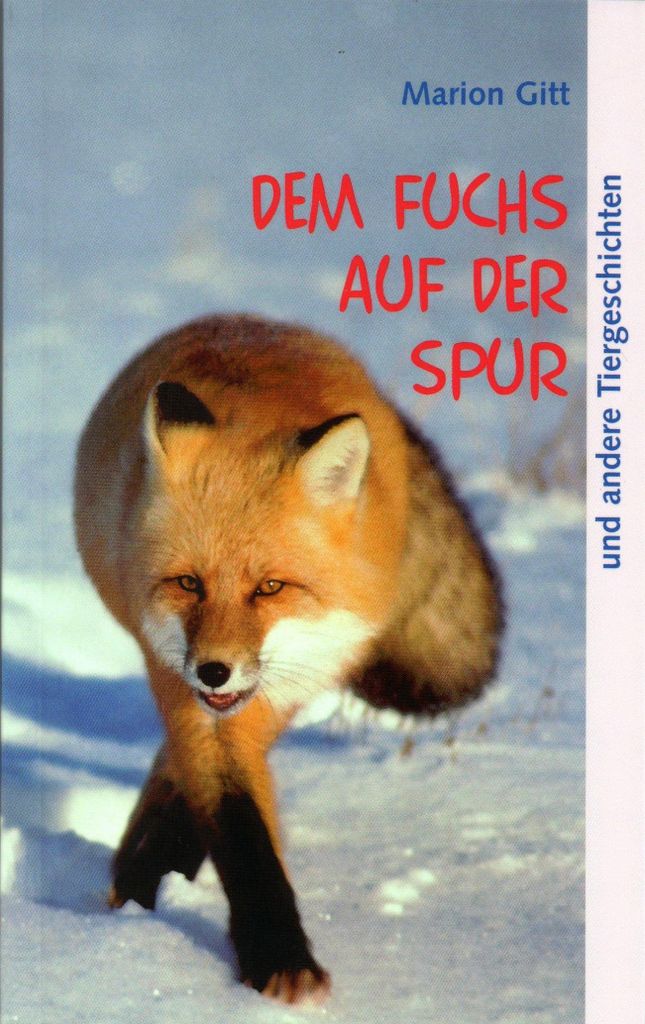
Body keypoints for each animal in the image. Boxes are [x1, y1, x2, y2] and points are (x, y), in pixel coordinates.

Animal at [74, 313, 502, 1005]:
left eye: (270, 588)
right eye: (188, 584)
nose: (213, 670)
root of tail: (260, 321)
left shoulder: (280, 686)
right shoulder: (187, 689)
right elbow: (241, 832)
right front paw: (277, 959)